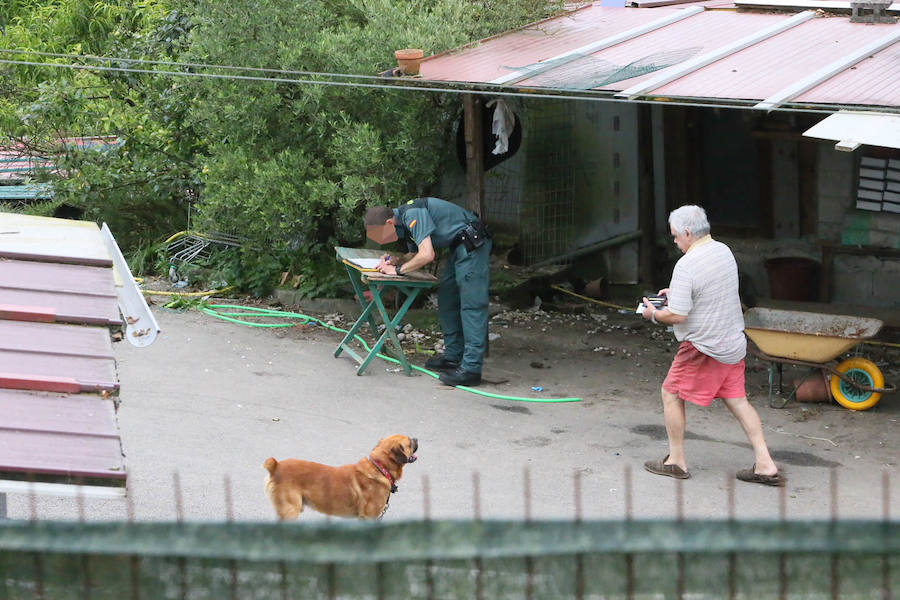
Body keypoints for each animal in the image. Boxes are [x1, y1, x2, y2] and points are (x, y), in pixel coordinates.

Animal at [264, 432, 418, 520]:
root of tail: (276, 466)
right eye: (409, 442)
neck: (380, 468)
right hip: (291, 511)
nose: (417, 438)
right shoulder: (369, 517)